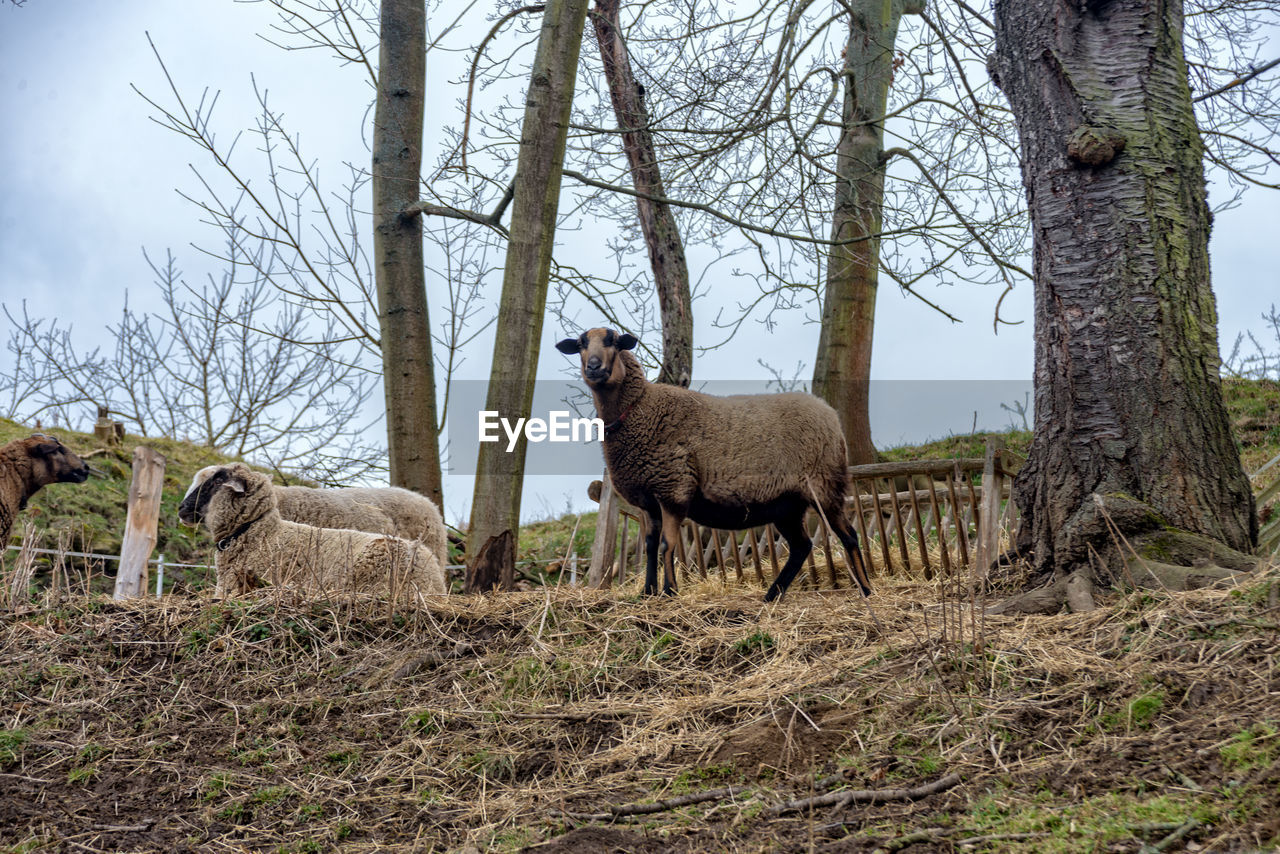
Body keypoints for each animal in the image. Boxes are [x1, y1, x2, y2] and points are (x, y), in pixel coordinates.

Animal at [555, 327, 875, 601]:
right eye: (581, 344)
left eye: (613, 341)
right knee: (801, 546)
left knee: (848, 535)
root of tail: (829, 413)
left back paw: (866, 589)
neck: (639, 410)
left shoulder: (674, 488)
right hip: (787, 503)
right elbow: (649, 546)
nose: (593, 367)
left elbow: (667, 545)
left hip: (824, 485)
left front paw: (669, 592)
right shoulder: (649, 500)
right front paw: (647, 593)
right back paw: (772, 595)